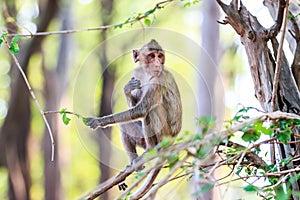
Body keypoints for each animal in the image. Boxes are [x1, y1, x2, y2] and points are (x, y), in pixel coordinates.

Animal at [85, 39, 182, 198]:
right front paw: (127, 89)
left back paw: (152, 149)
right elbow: (134, 109)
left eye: (160, 56)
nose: (157, 63)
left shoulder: (158, 79)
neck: (147, 72)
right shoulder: (137, 73)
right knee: (124, 126)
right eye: (152, 56)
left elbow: (141, 109)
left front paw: (100, 121)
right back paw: (132, 165)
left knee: (152, 110)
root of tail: (173, 139)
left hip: (165, 135)